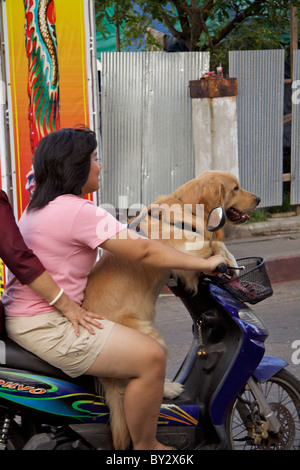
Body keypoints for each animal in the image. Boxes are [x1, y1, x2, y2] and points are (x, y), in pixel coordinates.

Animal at [82, 171, 260, 450]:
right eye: (235, 188)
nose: (260, 199)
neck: (185, 210)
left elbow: (213, 244)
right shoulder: (183, 251)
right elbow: (211, 245)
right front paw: (227, 262)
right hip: (148, 338)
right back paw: (170, 391)